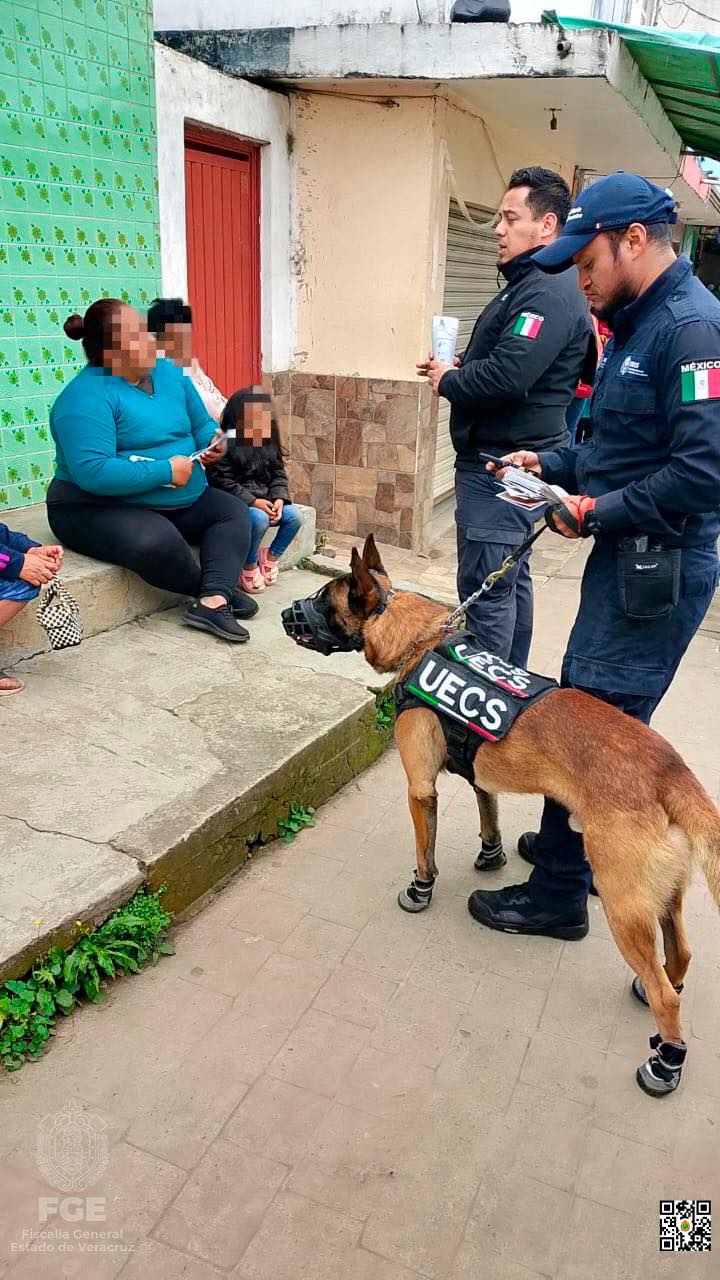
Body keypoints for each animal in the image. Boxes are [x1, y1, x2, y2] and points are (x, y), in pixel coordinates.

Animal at [281, 535, 717, 1095]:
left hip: (624, 903)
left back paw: (665, 1061)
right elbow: (488, 813)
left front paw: (420, 889)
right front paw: (491, 855)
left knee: (667, 995)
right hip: (660, 895)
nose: (284, 613)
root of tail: (671, 770)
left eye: (320, 601)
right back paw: (658, 994)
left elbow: (424, 851)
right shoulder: (477, 774)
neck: (421, 641)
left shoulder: (419, 789)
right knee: (679, 957)